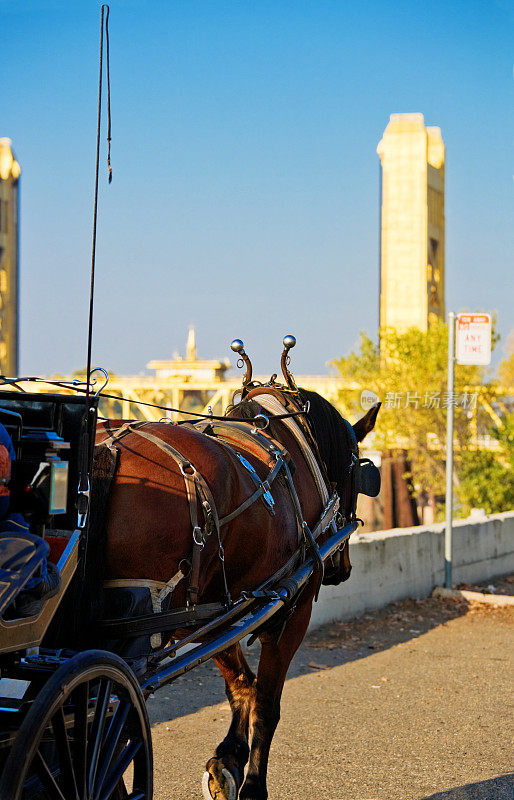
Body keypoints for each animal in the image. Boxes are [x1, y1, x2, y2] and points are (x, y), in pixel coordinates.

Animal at [95, 384, 376, 796]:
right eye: (359, 471)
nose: (343, 568)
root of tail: (108, 448)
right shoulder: (290, 610)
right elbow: (267, 702)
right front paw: (254, 784)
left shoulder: (217, 607)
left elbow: (242, 684)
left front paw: (228, 760)